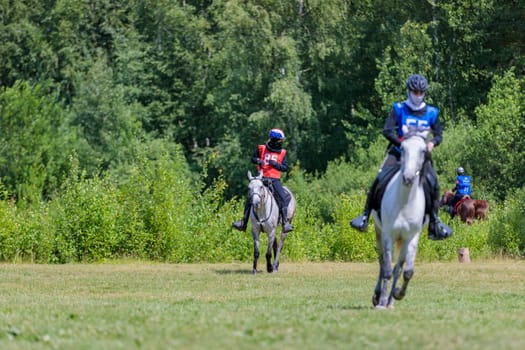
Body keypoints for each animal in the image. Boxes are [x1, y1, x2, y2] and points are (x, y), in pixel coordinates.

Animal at [370, 129, 428, 308]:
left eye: (423, 151)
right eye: (402, 149)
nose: (408, 178)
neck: (404, 202)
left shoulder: (411, 237)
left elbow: (406, 271)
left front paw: (397, 294)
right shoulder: (388, 235)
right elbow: (387, 269)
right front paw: (381, 301)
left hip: (403, 242)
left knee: (398, 269)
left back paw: (390, 301)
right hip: (379, 232)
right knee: (382, 263)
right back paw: (378, 296)